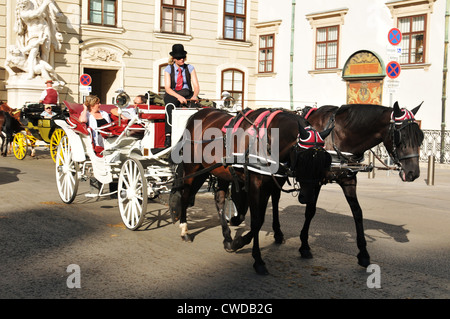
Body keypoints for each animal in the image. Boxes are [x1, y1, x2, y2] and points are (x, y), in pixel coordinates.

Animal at [171, 108, 332, 276]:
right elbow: (256, 220)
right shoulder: (256, 184)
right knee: (185, 195)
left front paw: (236, 242)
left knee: (219, 199)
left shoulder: (268, 185)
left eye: (324, 161)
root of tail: (198, 114)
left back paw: (227, 237)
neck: (269, 138)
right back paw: (184, 230)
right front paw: (256, 258)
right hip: (192, 166)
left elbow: (260, 218)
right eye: (302, 159)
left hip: (219, 170)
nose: (308, 197)